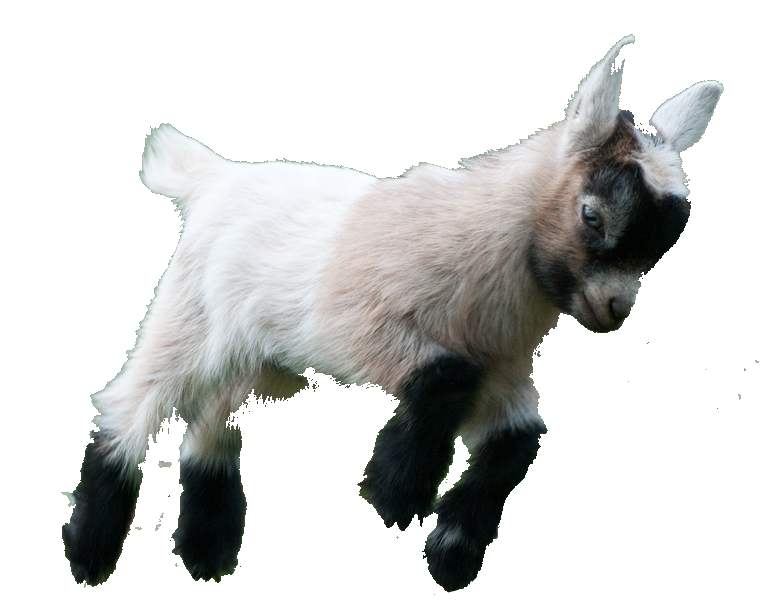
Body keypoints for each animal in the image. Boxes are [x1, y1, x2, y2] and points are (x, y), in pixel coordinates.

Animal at [63, 35, 722, 592]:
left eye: (661, 246)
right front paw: (394, 491)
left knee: (209, 420)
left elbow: (519, 440)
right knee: (130, 405)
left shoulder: (505, 369)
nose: (614, 310)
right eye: (592, 215)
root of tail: (213, 176)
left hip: (257, 355)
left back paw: (208, 548)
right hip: (190, 316)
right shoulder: (359, 322)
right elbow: (446, 376)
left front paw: (452, 549)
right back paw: (90, 553)